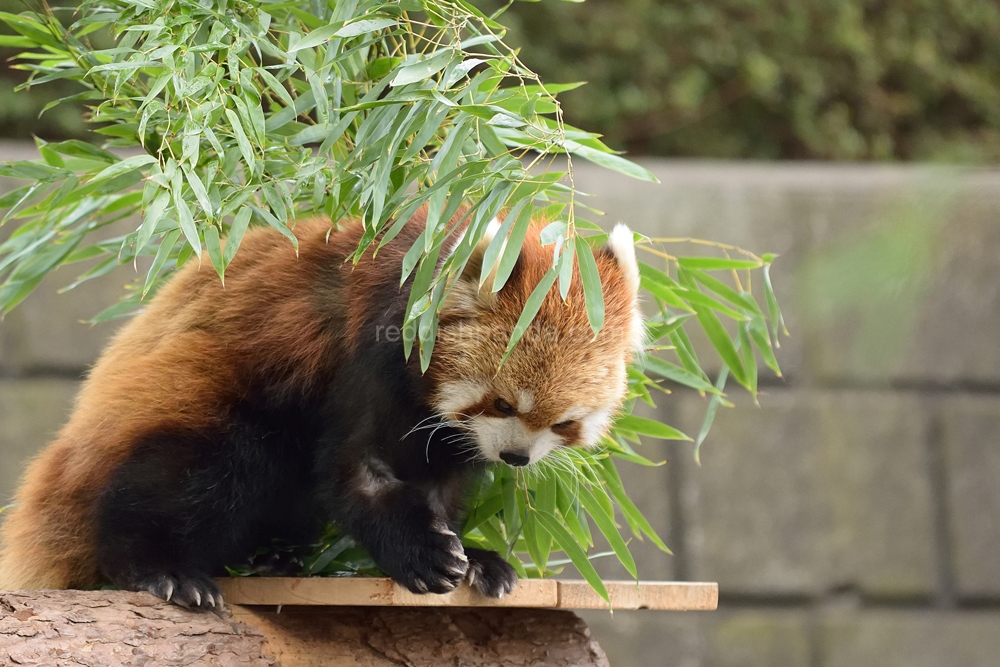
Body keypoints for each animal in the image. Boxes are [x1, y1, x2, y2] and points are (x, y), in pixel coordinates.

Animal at [0, 209, 640, 612]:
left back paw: (270, 558)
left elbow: (441, 483)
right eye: (503, 402)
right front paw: (426, 553)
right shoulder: (359, 363)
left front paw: (476, 558)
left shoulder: (447, 436)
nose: (515, 458)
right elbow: (354, 470)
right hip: (185, 410)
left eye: (563, 423)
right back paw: (161, 568)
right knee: (203, 465)